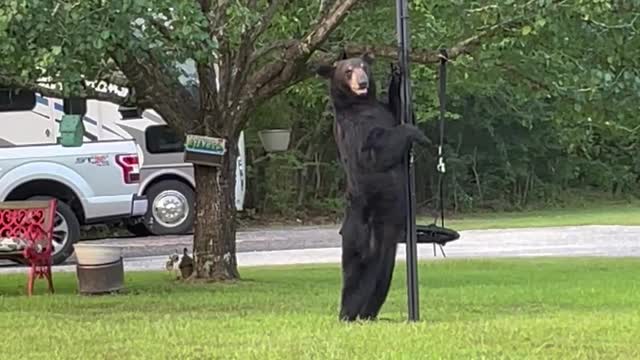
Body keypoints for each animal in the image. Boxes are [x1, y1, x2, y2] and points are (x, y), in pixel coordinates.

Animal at [316, 52, 428, 320]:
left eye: (363, 66)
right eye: (347, 71)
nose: (363, 82)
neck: (361, 104)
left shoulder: (383, 111)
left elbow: (399, 110)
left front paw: (397, 75)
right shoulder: (355, 129)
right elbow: (373, 153)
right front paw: (418, 134)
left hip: (388, 238)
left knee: (381, 275)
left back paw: (368, 313)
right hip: (361, 227)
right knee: (354, 270)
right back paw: (347, 314)